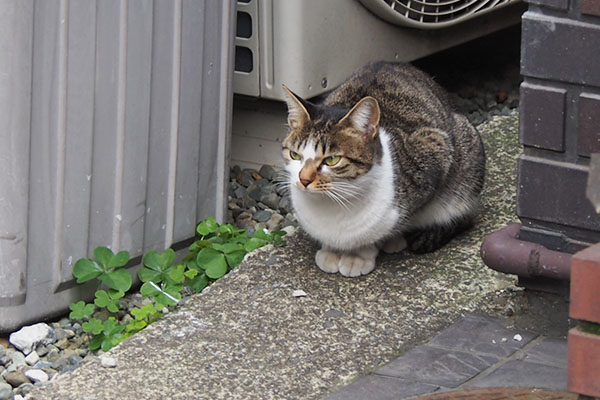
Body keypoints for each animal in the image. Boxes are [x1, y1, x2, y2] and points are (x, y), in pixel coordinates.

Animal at [282, 62, 488, 278]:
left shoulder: (435, 151)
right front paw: (332, 250)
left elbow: (378, 232)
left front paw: (359, 255)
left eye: (332, 159)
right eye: (295, 155)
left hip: (467, 156)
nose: (303, 179)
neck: (332, 204)